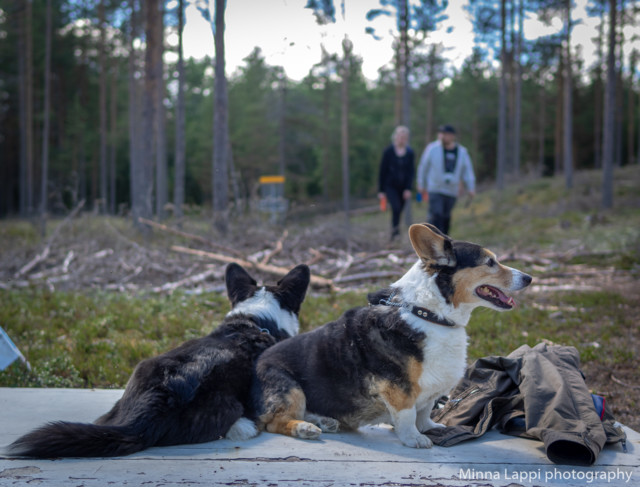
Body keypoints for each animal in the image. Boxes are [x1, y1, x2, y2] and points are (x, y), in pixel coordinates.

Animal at [252, 225, 532, 450]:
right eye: (489, 262)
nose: (529, 278)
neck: (427, 313)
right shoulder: (399, 387)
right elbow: (407, 415)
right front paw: (414, 438)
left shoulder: (429, 389)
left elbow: (425, 412)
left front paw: (431, 427)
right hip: (291, 389)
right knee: (273, 422)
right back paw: (304, 427)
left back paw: (324, 420)